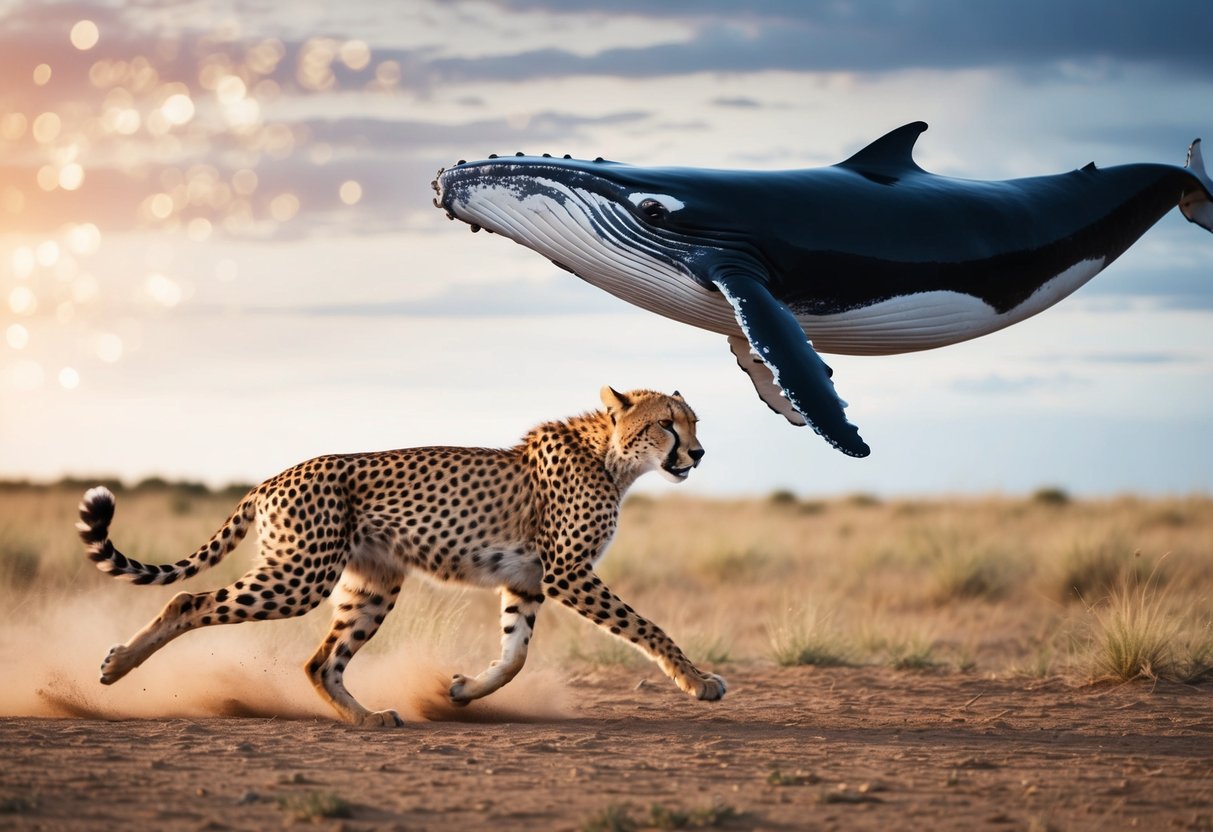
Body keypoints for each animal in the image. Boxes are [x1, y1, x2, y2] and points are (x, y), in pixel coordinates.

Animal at [76, 386, 724, 726]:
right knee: (188, 599)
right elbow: (647, 628)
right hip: (299, 576)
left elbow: (515, 655)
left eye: (693, 422)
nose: (697, 453)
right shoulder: (566, 573)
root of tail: (273, 476)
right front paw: (697, 682)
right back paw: (116, 667)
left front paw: (459, 692)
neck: (611, 457)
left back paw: (366, 718)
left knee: (320, 662)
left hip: (371, 584)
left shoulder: (527, 580)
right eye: (668, 424)